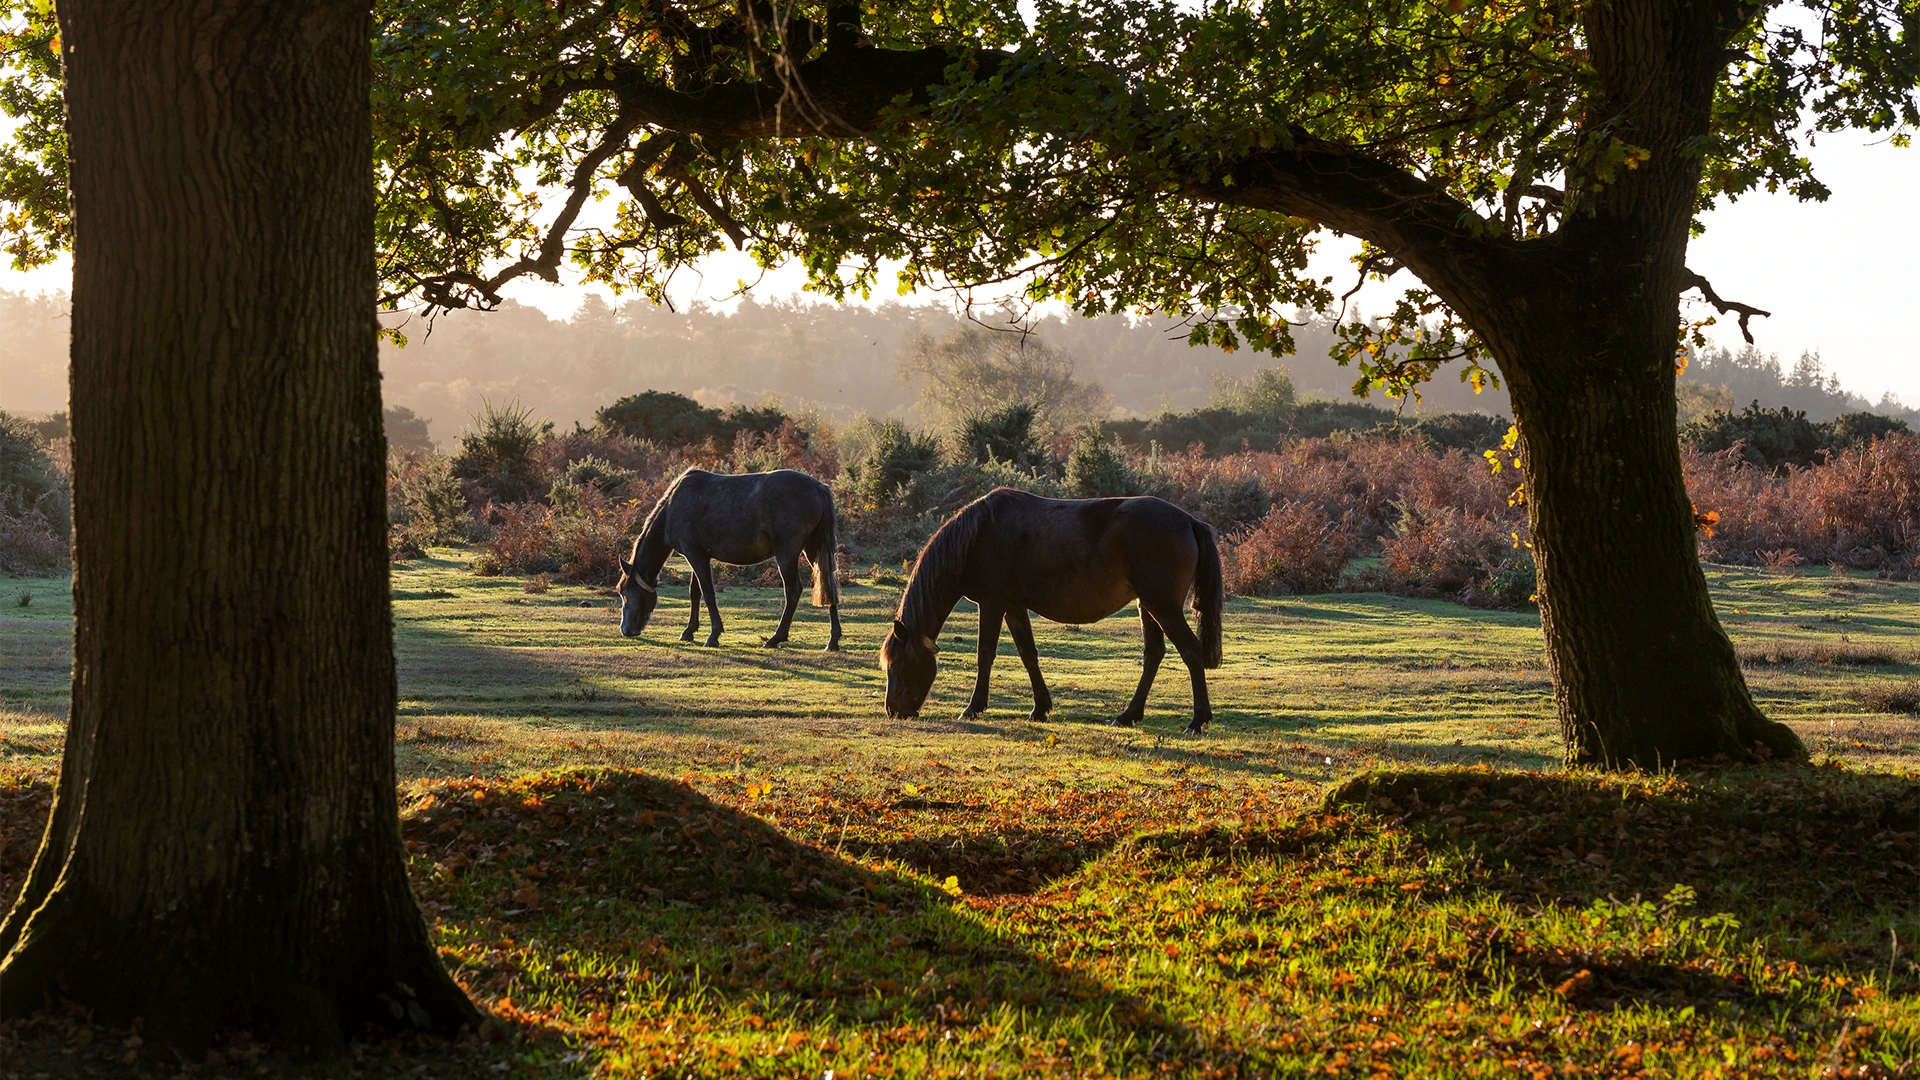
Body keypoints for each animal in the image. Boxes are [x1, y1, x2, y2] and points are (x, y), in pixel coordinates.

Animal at [616, 468, 842, 649]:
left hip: (787, 553)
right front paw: (689, 631)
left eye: (623, 591)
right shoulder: (699, 556)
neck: (673, 506)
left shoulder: (694, 555)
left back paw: (775, 638)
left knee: (793, 591)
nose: (626, 630)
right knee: (829, 586)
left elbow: (707, 593)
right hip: (814, 550)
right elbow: (694, 592)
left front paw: (713, 635)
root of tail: (818, 487)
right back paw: (833, 640)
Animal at [879, 488, 1223, 732]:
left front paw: (973, 707)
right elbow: (1028, 654)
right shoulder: (1013, 607)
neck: (978, 536)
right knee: (1154, 655)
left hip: (1162, 606)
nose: (893, 710)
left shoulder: (992, 604)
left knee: (1191, 651)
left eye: (898, 665)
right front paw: (1040, 708)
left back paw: (1197, 721)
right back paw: (1128, 715)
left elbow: (985, 654)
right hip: (1147, 607)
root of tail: (1190, 521)